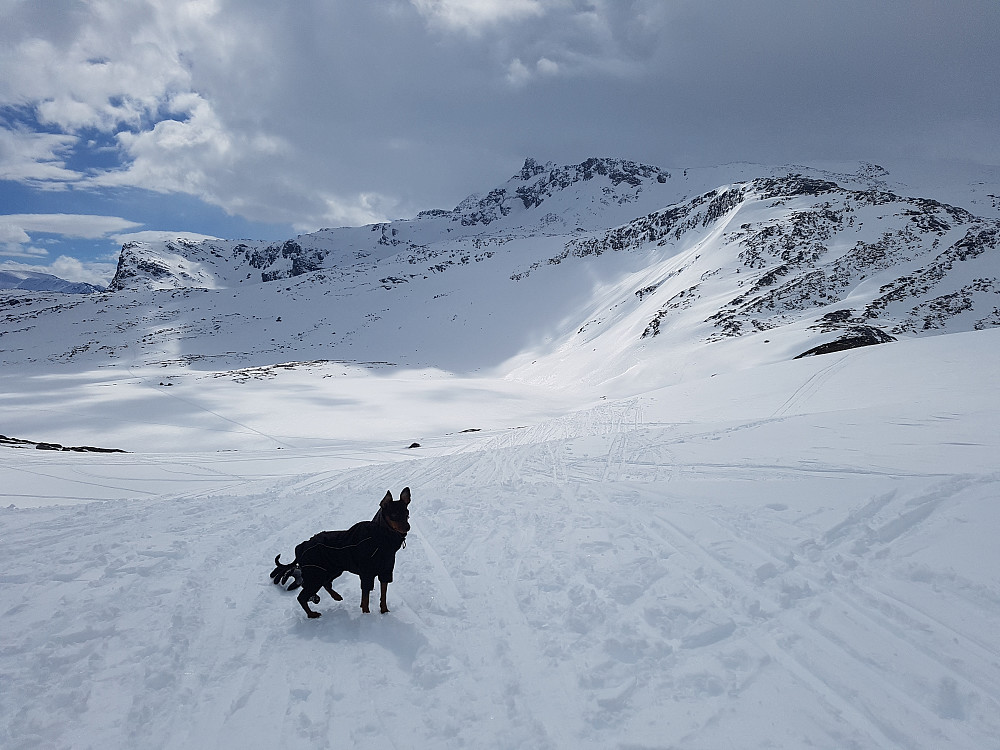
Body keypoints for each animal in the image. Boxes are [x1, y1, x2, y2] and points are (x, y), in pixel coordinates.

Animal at [270, 490, 410, 620]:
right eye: (394, 515)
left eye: (407, 515)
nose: (407, 527)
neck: (381, 539)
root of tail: (301, 546)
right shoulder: (366, 574)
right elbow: (365, 599)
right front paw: (366, 615)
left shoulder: (386, 571)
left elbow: (383, 594)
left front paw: (385, 611)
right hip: (316, 574)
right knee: (302, 597)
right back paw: (312, 614)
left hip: (332, 570)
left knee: (326, 584)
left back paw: (336, 596)